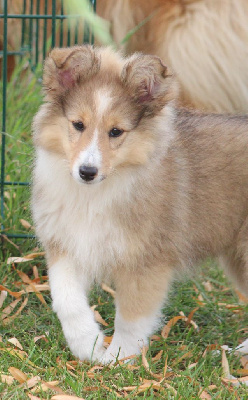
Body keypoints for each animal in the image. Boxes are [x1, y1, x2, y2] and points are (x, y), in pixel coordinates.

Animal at [32, 45, 248, 364]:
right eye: (78, 125)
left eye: (116, 132)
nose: (87, 172)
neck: (95, 195)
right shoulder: (68, 244)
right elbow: (68, 300)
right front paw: (88, 346)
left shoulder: (147, 260)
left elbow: (132, 318)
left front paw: (117, 359)